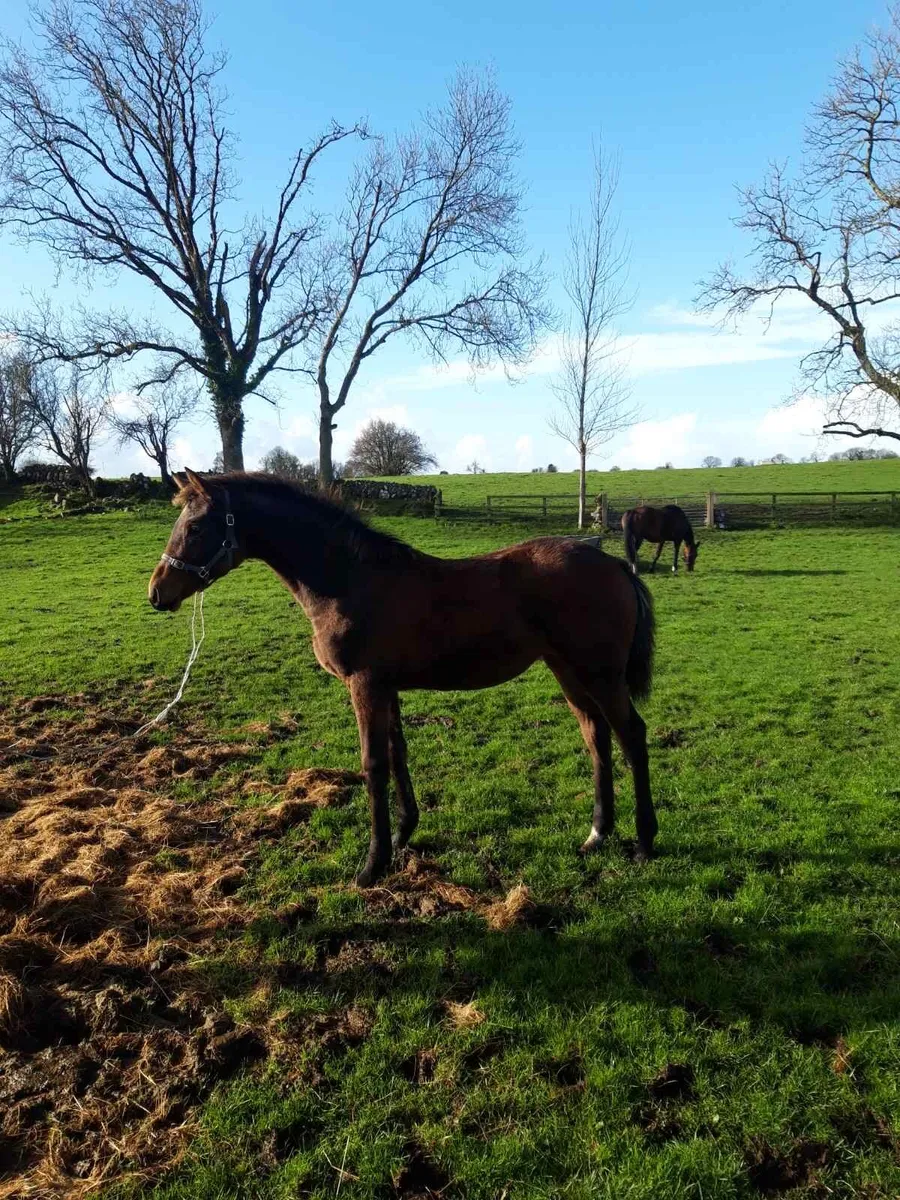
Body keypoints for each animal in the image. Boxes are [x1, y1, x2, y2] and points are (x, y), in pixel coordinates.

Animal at [148, 470, 657, 886]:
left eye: (196, 527)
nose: (157, 594)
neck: (348, 579)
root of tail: (614, 563)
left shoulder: (365, 684)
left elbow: (373, 764)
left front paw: (373, 865)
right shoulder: (386, 686)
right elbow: (397, 754)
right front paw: (403, 835)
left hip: (600, 673)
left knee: (631, 735)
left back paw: (645, 842)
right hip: (567, 670)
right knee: (595, 735)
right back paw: (597, 834)